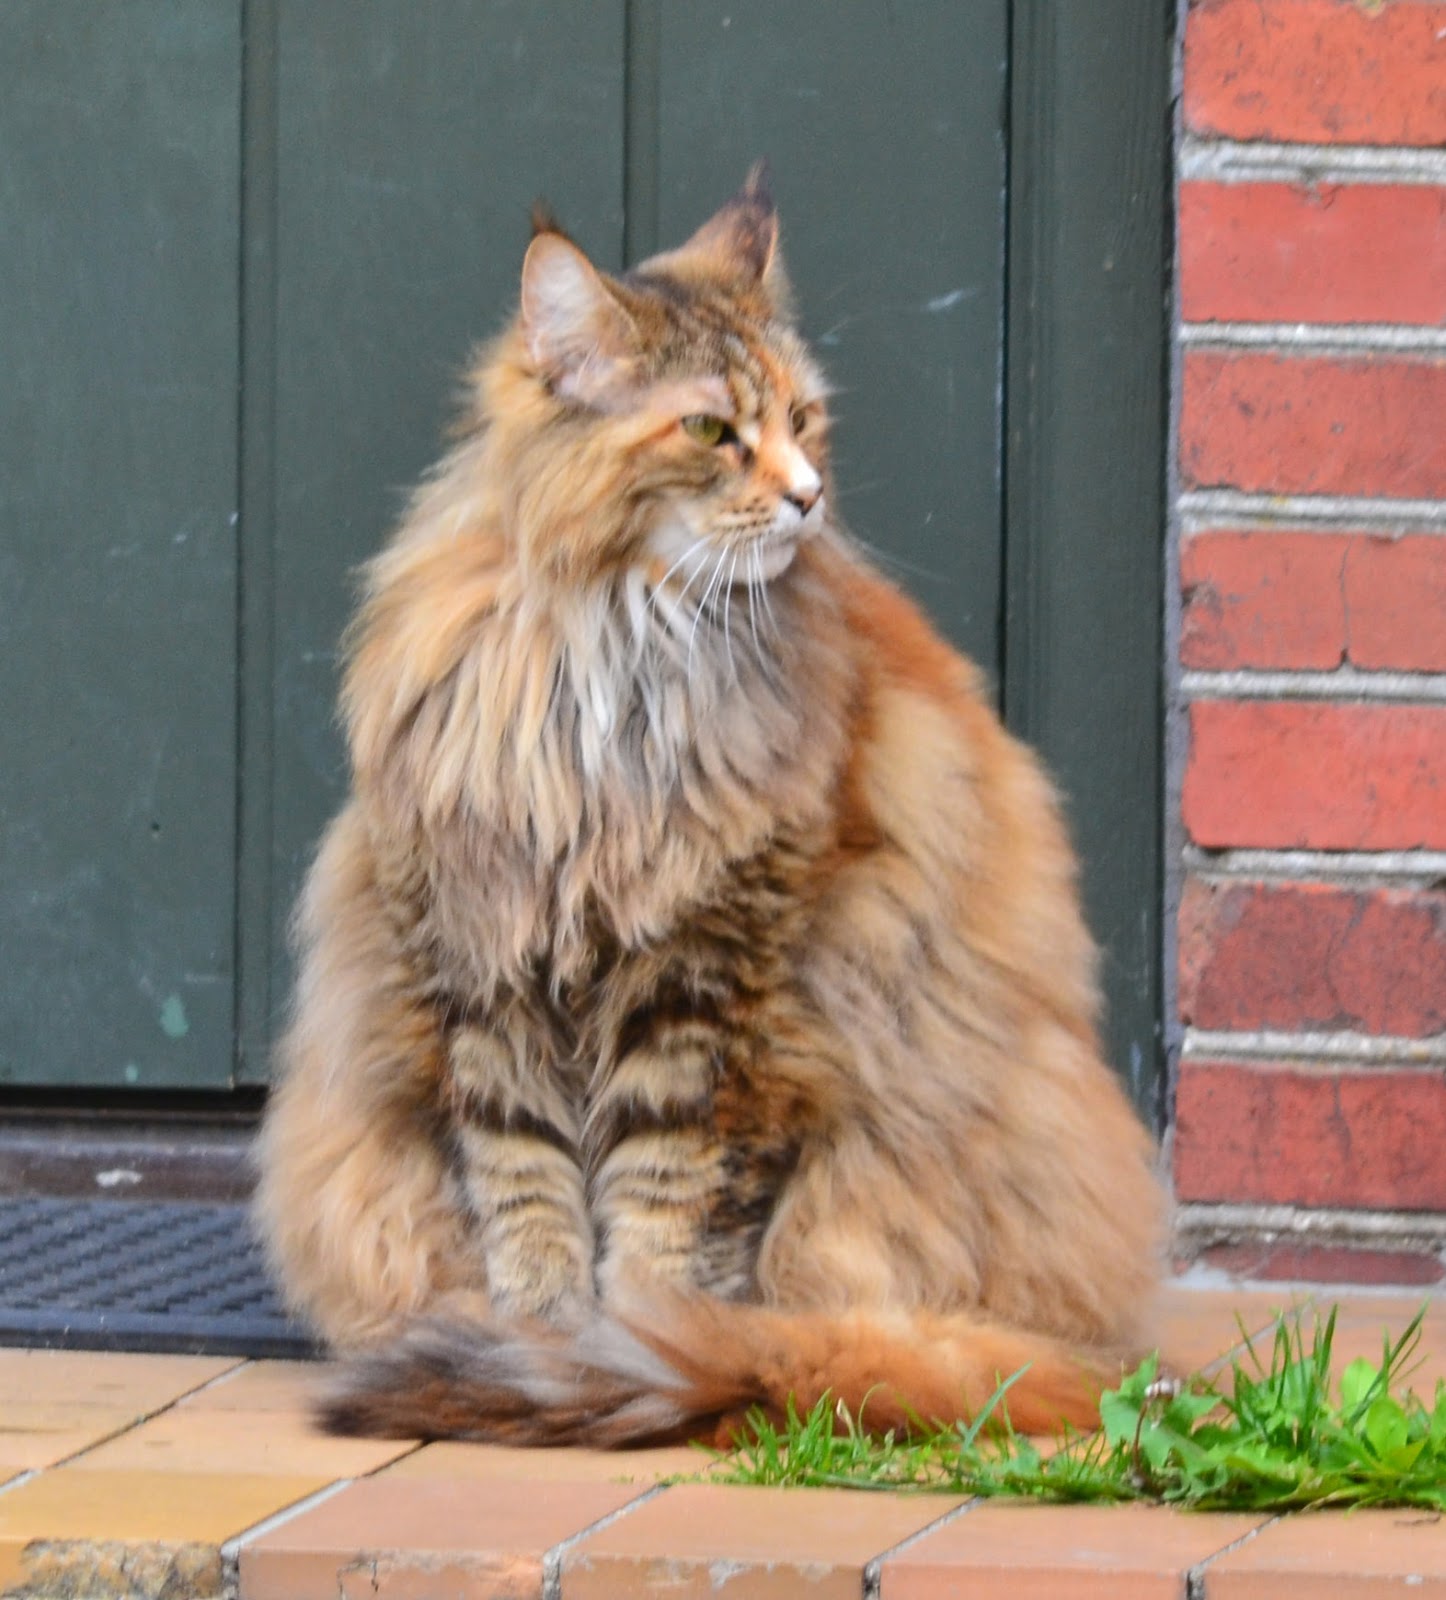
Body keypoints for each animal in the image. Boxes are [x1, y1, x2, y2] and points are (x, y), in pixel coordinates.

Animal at [257, 165, 1164, 1452]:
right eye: (709, 429)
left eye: (805, 418)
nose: (808, 496)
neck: (618, 656)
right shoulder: (486, 969)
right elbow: (529, 1199)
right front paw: (544, 1335)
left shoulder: (715, 987)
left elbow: (666, 1211)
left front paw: (631, 1343)